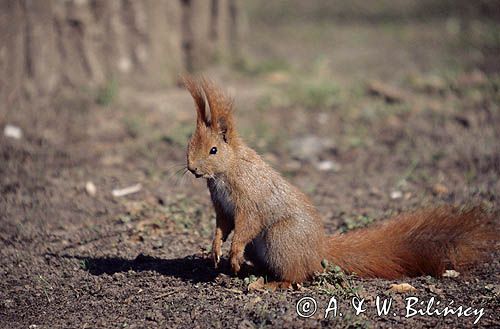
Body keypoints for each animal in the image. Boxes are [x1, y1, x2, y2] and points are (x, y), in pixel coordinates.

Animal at [184, 76, 496, 284]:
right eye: (190, 143)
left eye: (213, 150)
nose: (191, 168)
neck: (227, 171)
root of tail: (317, 251)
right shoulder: (222, 206)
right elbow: (223, 226)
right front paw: (215, 249)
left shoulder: (250, 200)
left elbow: (246, 225)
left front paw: (233, 253)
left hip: (281, 238)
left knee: (297, 276)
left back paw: (272, 284)